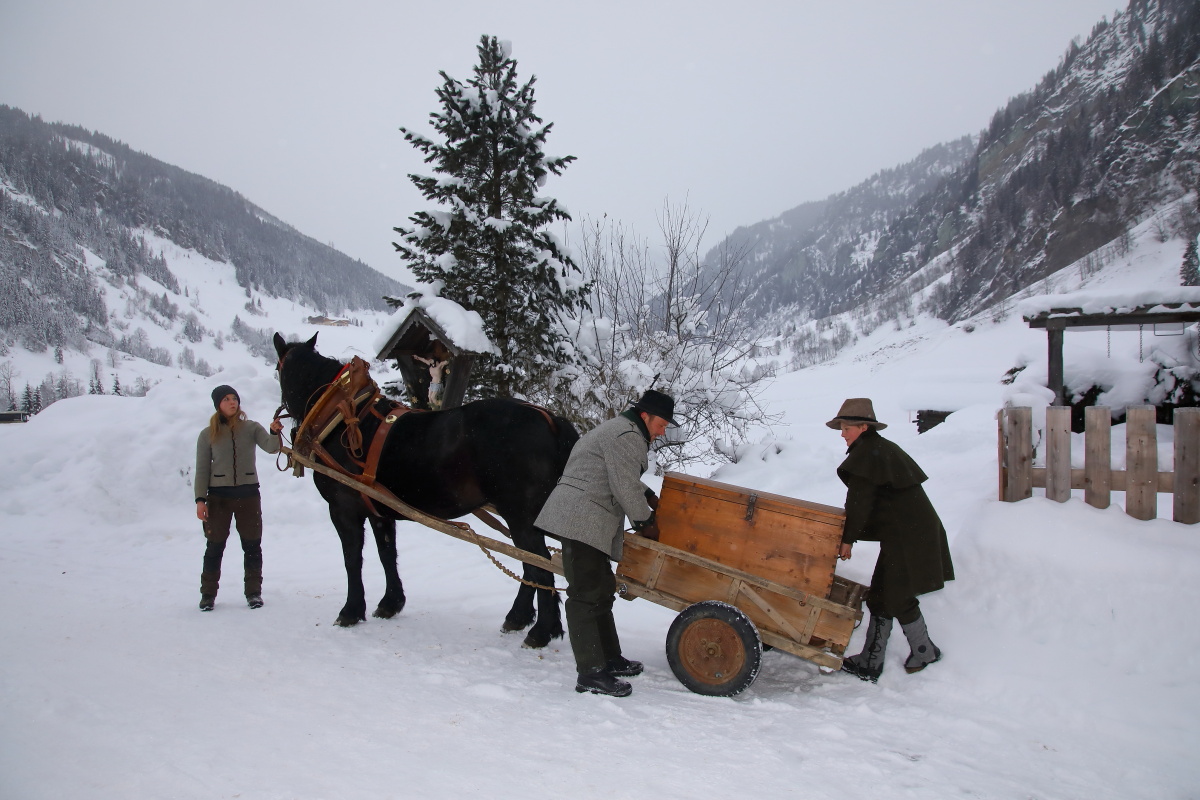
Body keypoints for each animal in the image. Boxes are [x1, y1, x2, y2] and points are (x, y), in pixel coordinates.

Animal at [280, 333, 580, 652]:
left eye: (280, 370)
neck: (342, 414)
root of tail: (551, 420)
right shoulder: (379, 512)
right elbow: (387, 553)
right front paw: (391, 602)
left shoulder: (343, 509)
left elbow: (352, 559)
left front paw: (350, 611)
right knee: (532, 565)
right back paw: (519, 618)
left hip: (521, 517)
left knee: (540, 566)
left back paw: (540, 631)